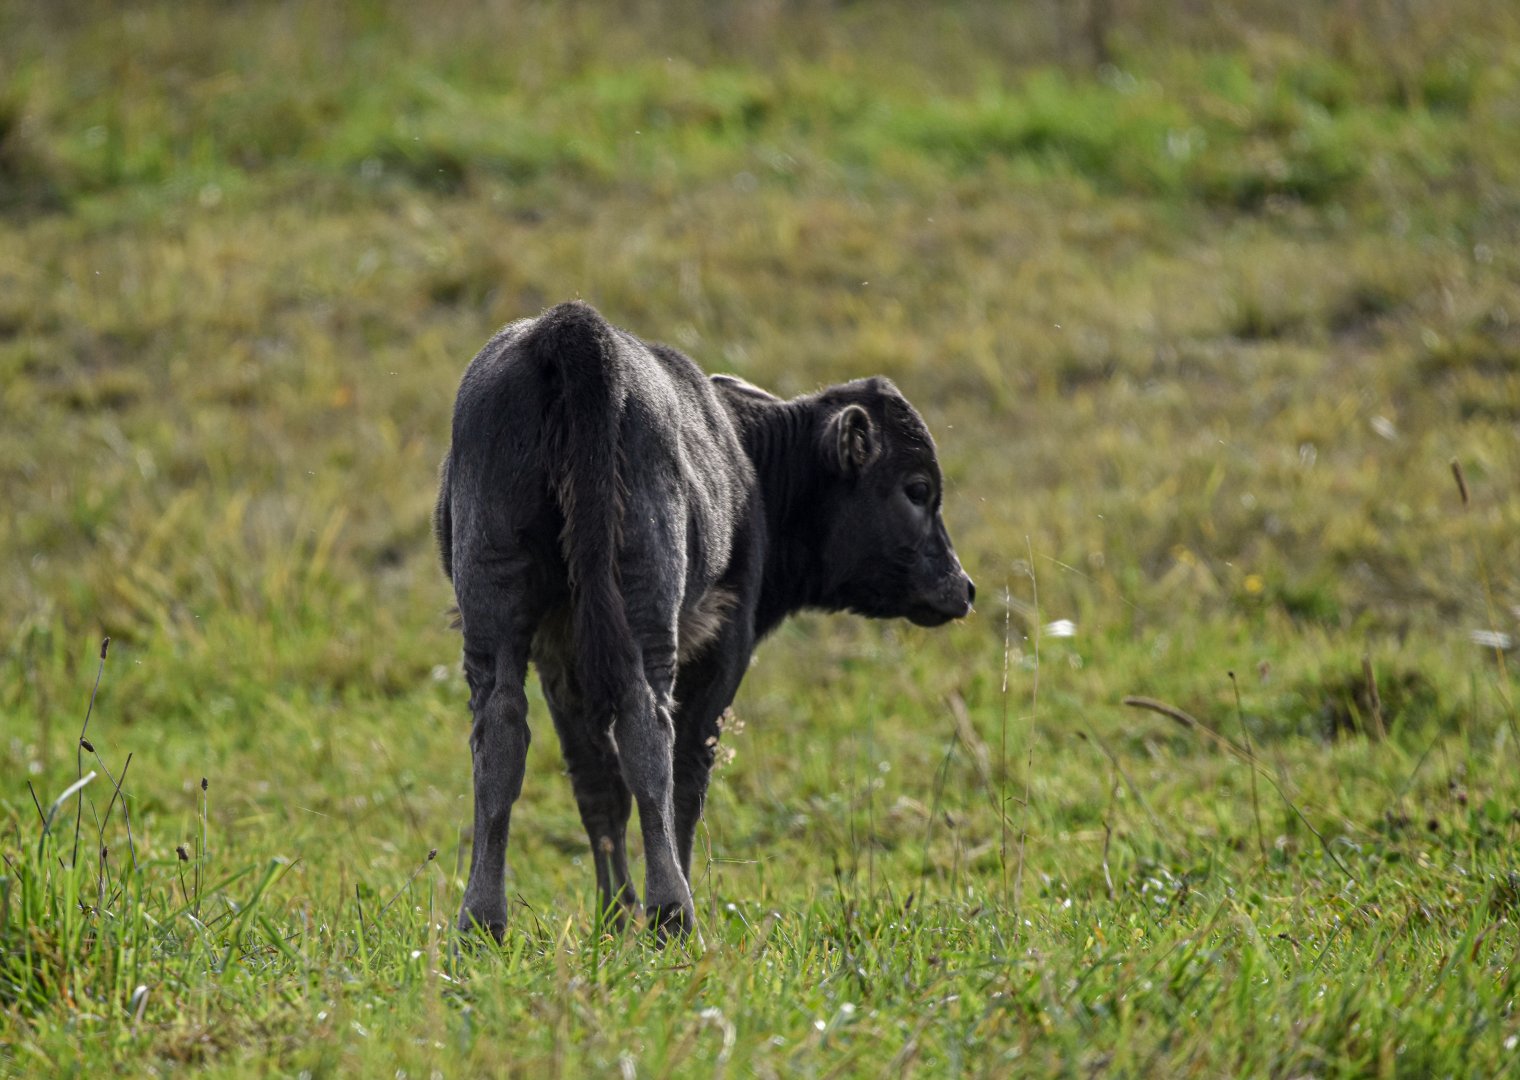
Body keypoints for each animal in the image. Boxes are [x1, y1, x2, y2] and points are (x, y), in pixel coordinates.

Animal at [434, 301, 974, 940]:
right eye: (917, 489)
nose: (963, 587)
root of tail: (568, 328)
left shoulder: (556, 655)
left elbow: (596, 782)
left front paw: (614, 915)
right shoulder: (728, 642)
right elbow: (686, 776)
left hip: (496, 596)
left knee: (502, 732)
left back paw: (482, 923)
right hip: (646, 602)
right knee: (649, 731)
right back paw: (673, 911)